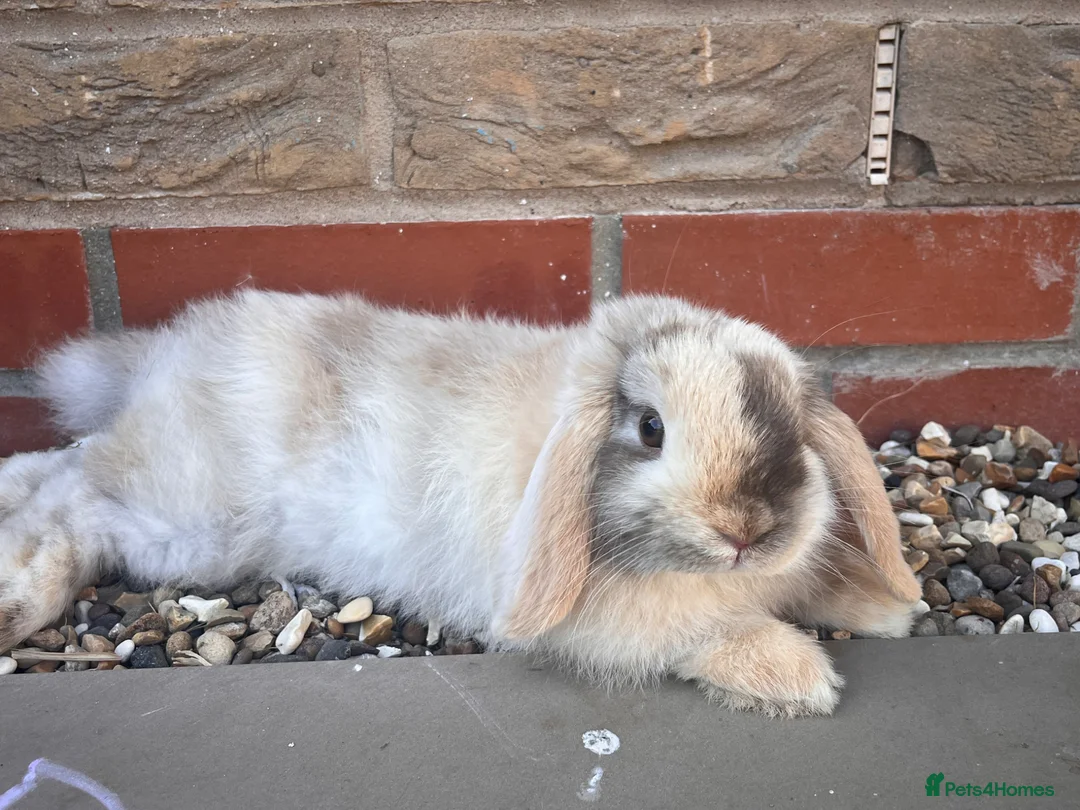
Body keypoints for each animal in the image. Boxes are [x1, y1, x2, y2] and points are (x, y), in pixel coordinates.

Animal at [0, 289, 921, 716]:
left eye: (791, 429)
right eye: (651, 427)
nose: (746, 531)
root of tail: (165, 357)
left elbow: (819, 583)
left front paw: (884, 608)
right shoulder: (615, 627)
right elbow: (699, 635)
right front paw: (796, 676)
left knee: (61, 464)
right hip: (187, 525)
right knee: (77, 498)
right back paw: (21, 600)